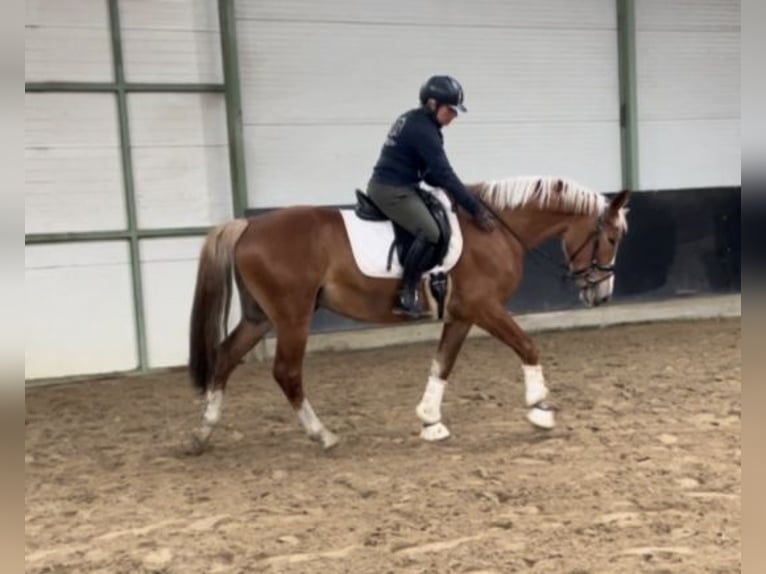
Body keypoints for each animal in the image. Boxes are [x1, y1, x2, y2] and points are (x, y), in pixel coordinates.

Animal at [187, 176, 629, 453]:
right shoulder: (485, 307)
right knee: (286, 372)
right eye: (611, 237)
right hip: (292, 317)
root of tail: (246, 226)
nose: (601, 294)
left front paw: (430, 422)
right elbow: (527, 346)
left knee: (225, 357)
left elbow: (442, 364)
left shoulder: (462, 314)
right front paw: (540, 410)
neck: (494, 229)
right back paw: (322, 435)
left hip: (260, 317)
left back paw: (202, 433)